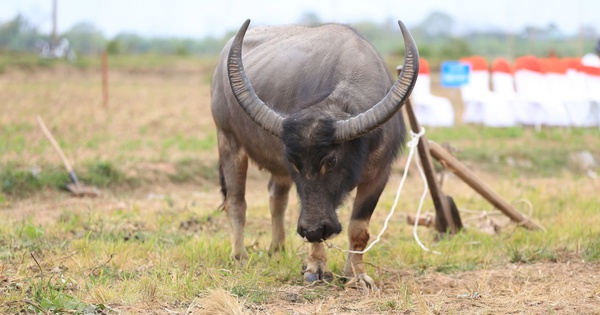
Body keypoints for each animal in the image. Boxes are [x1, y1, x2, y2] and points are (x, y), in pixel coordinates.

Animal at [211, 17, 418, 288]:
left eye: (332, 160)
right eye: (294, 162)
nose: (311, 229)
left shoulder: (379, 173)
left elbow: (358, 229)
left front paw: (356, 274)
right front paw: (316, 268)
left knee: (276, 198)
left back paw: (277, 250)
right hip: (228, 140)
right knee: (236, 202)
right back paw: (239, 255)